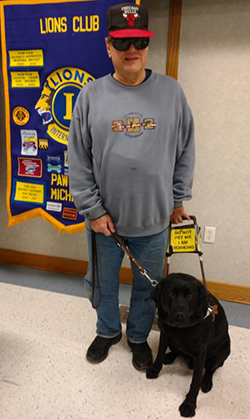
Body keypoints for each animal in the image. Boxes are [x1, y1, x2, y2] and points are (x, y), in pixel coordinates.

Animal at [146, 274, 230, 418]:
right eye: (171, 294)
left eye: (190, 296)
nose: (180, 315)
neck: (181, 329)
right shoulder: (164, 335)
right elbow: (159, 355)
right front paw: (155, 369)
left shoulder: (201, 353)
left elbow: (195, 382)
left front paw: (189, 405)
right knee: (177, 351)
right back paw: (169, 357)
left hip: (223, 351)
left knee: (211, 369)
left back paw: (206, 382)